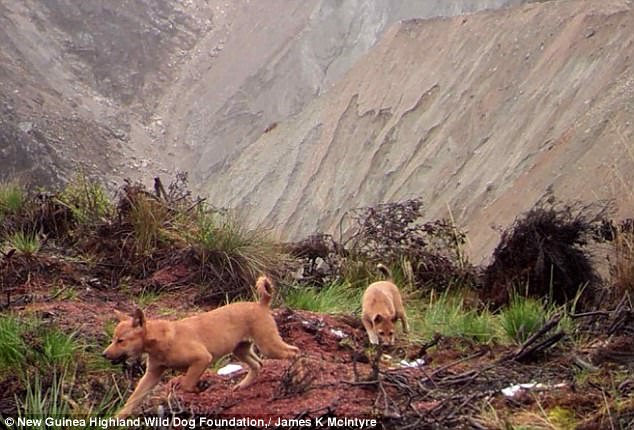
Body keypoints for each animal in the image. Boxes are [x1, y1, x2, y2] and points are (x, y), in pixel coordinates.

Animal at [103, 276, 298, 416]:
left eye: (120, 341)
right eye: (113, 339)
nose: (104, 355)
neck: (160, 340)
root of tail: (261, 303)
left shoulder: (202, 358)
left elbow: (187, 383)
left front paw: (197, 389)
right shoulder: (152, 374)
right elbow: (133, 400)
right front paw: (117, 419)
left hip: (268, 345)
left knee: (294, 352)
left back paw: (294, 374)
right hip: (241, 349)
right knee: (258, 364)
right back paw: (243, 385)